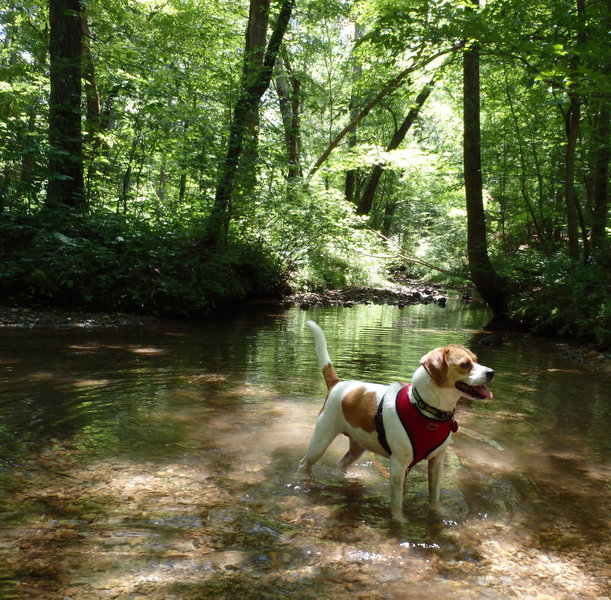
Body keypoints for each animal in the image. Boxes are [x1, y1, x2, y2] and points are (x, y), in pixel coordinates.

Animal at [298, 322, 494, 524]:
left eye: (476, 360)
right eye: (465, 364)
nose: (491, 373)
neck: (424, 409)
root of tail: (338, 384)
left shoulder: (436, 463)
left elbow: (434, 497)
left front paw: (438, 513)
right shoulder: (398, 467)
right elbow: (397, 504)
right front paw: (399, 521)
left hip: (357, 447)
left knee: (341, 464)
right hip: (320, 442)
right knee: (304, 463)